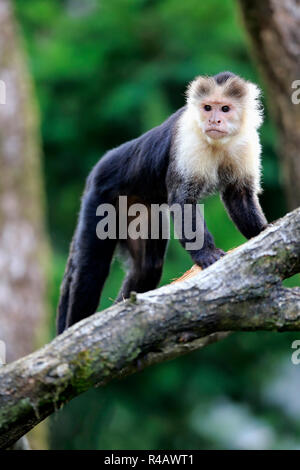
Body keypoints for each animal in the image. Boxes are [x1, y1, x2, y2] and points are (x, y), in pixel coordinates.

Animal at [56, 70, 268, 334]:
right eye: (208, 108)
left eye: (225, 109)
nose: (214, 121)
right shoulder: (188, 138)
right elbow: (182, 201)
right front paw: (206, 254)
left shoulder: (247, 142)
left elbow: (238, 195)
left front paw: (263, 231)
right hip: (100, 195)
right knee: (91, 270)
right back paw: (76, 330)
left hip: (139, 209)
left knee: (148, 266)